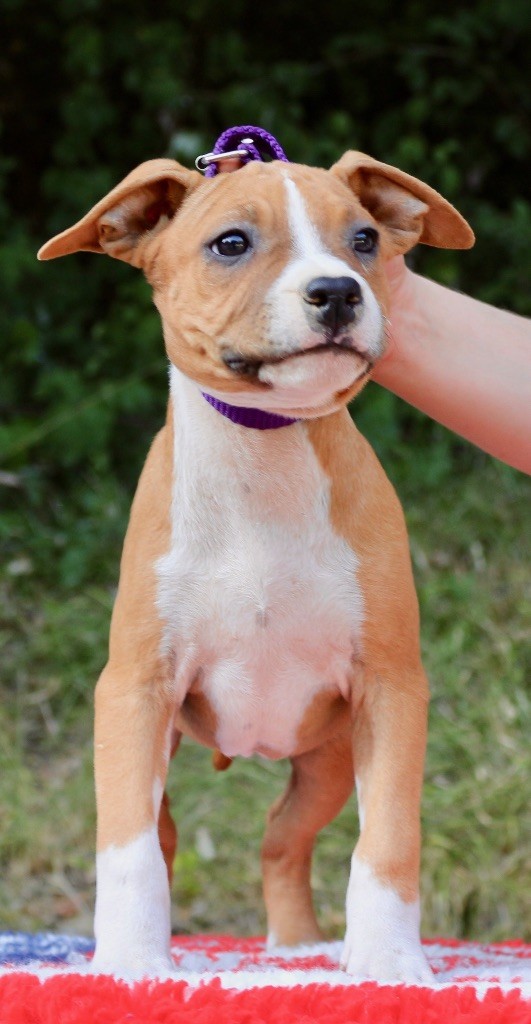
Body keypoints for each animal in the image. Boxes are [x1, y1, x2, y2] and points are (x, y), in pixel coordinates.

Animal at [39, 144, 473, 980]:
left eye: (364, 239)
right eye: (231, 243)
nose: (336, 290)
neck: (261, 453)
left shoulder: (390, 690)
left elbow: (387, 839)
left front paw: (387, 961)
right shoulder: (135, 691)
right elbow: (127, 852)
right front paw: (131, 965)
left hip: (327, 759)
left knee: (281, 837)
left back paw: (297, 946)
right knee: (166, 836)